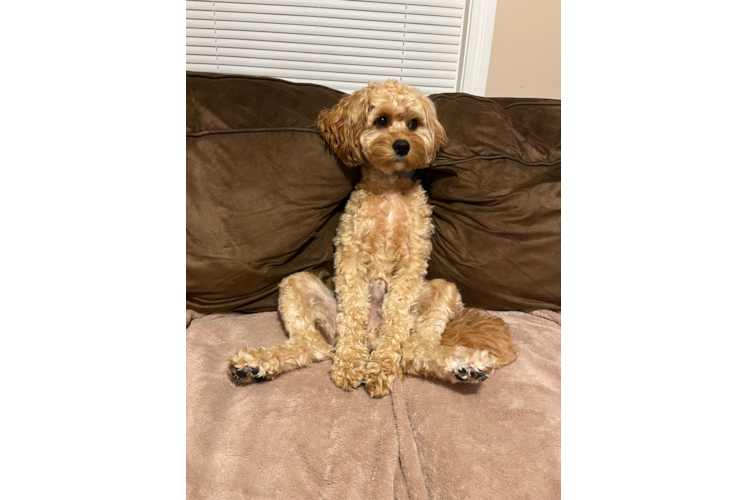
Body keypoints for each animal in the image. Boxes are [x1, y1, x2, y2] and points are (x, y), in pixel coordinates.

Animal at [228, 79, 520, 398]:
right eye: (381, 121)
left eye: (413, 124)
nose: (403, 145)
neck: (389, 186)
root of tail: (371, 339)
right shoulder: (351, 255)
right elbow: (354, 311)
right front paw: (349, 365)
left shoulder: (412, 262)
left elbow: (395, 320)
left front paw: (380, 369)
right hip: (297, 285)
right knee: (315, 344)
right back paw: (254, 364)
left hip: (443, 292)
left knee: (413, 350)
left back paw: (465, 366)